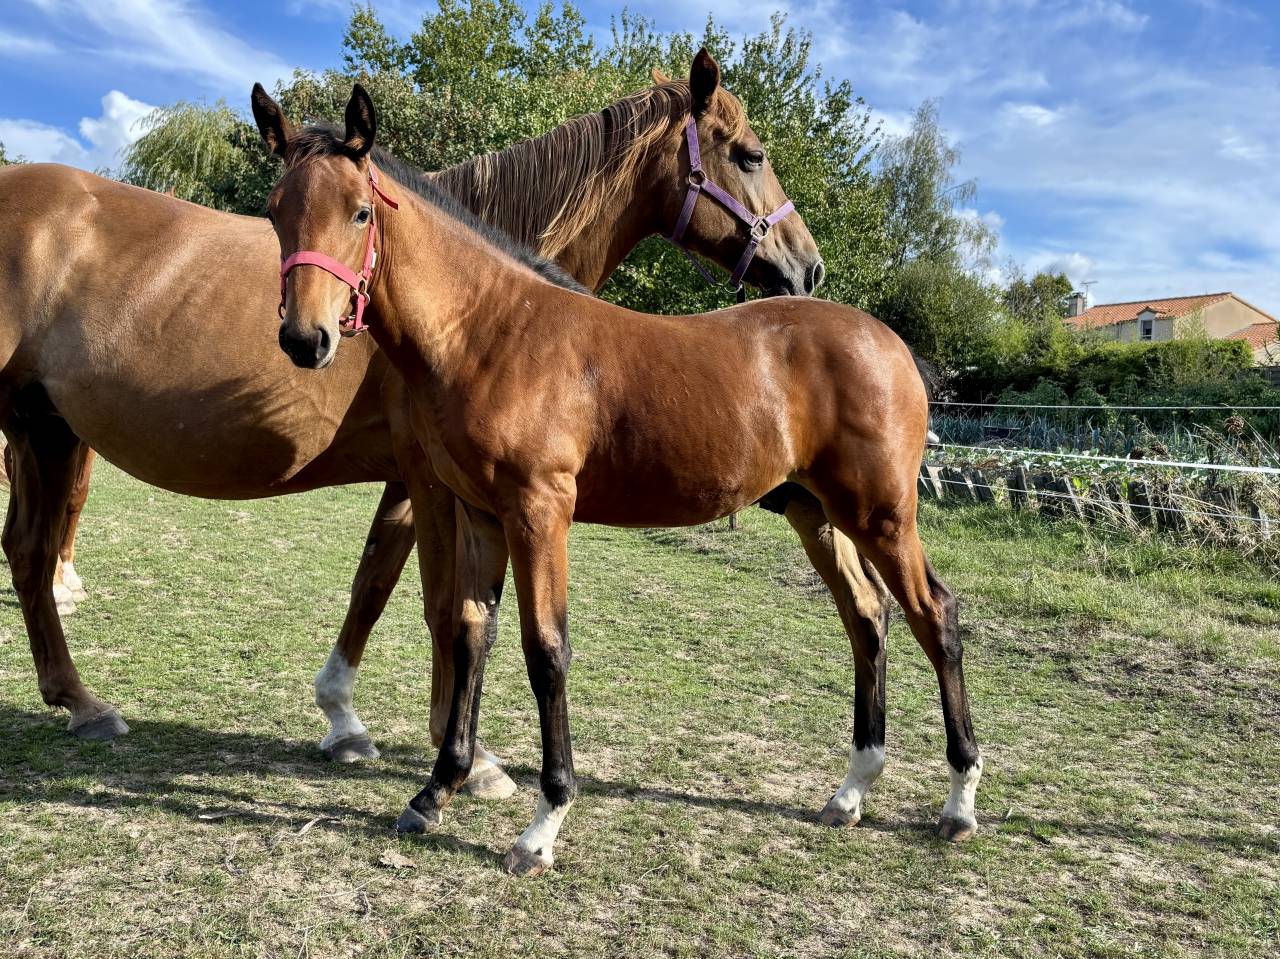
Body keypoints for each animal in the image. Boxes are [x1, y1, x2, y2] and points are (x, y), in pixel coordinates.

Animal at [0, 53, 824, 798]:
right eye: (750, 155)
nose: (809, 268)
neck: (476, 297)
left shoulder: (427, 481)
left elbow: (382, 583)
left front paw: (348, 719)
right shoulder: (428, 474)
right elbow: (438, 602)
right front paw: (465, 756)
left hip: (43, 429)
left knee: (28, 550)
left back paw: (81, 702)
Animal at [260, 81, 983, 876]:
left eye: (361, 211)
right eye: (276, 210)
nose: (306, 339)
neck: (492, 328)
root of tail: (891, 342)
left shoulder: (539, 510)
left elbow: (546, 652)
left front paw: (542, 825)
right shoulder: (479, 513)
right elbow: (469, 633)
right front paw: (435, 791)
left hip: (881, 513)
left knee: (935, 614)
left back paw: (959, 802)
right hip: (818, 513)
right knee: (867, 615)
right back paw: (851, 791)